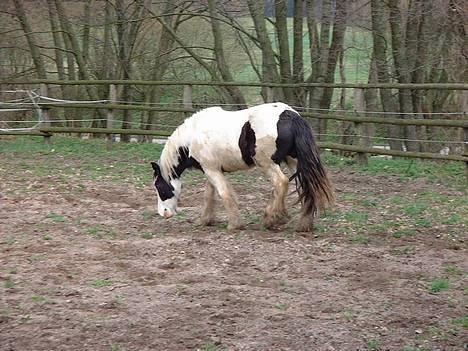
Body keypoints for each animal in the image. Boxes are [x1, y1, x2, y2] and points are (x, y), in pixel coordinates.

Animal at [150, 102, 332, 232]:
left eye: (159, 186)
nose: (163, 213)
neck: (192, 136)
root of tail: (290, 115)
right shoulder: (211, 170)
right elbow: (209, 195)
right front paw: (204, 220)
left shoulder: (211, 170)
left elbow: (224, 193)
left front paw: (234, 225)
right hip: (294, 161)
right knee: (306, 187)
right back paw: (304, 225)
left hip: (268, 164)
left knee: (281, 183)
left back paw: (272, 219)